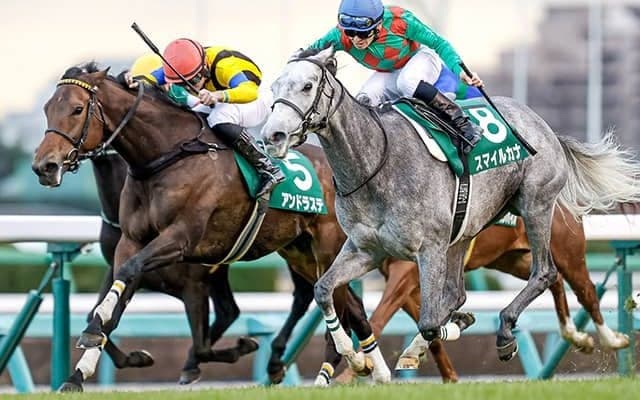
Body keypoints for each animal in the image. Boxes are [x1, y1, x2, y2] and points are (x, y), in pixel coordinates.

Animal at [31, 63, 378, 390]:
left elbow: (134, 279)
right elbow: (116, 295)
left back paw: (340, 365)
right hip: (300, 252)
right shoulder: (131, 241)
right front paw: (79, 371)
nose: (44, 166)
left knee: (335, 301)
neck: (166, 157)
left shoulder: (183, 242)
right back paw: (354, 362)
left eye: (77, 109)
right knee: (341, 301)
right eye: (47, 108)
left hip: (327, 248)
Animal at [262, 46, 640, 371]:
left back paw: (521, 332)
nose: (273, 135)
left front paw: (458, 328)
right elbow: (323, 289)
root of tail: (544, 126)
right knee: (461, 292)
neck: (374, 164)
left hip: (537, 207)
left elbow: (430, 321)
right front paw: (354, 357)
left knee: (549, 275)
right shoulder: (364, 249)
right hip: (468, 235)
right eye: (274, 86)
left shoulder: (427, 249)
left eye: (307, 86)